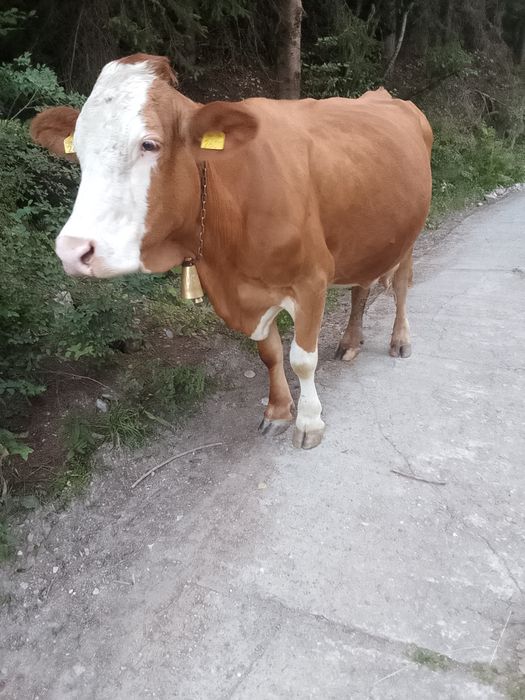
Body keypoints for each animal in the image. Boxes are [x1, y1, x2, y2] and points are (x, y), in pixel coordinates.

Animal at [30, 54, 433, 449]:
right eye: (79, 151)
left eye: (150, 144)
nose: (72, 250)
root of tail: (384, 95)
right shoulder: (244, 292)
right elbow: (269, 352)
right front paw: (278, 411)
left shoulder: (312, 279)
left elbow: (302, 358)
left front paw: (309, 422)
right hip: (368, 237)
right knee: (361, 287)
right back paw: (350, 342)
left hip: (409, 235)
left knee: (400, 286)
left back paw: (400, 340)